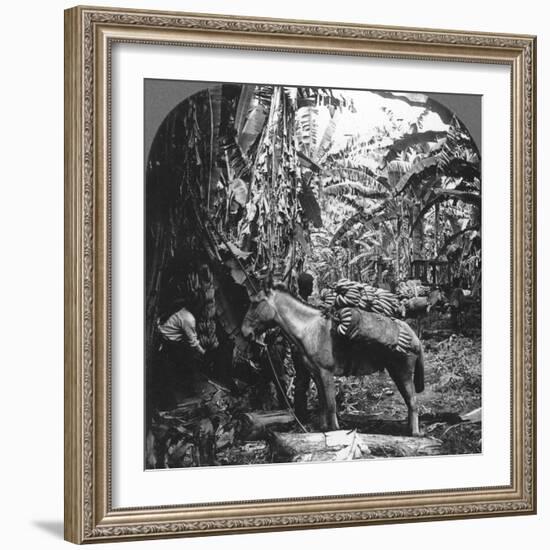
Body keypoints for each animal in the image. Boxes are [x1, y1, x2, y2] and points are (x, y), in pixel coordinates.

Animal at [242, 286, 426, 438]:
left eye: (255, 304)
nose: (245, 333)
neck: (310, 330)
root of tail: (414, 337)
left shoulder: (326, 373)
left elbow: (331, 404)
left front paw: (335, 430)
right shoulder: (316, 375)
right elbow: (322, 403)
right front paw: (323, 428)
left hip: (402, 372)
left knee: (413, 402)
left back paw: (415, 433)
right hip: (396, 372)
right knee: (409, 401)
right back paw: (409, 429)